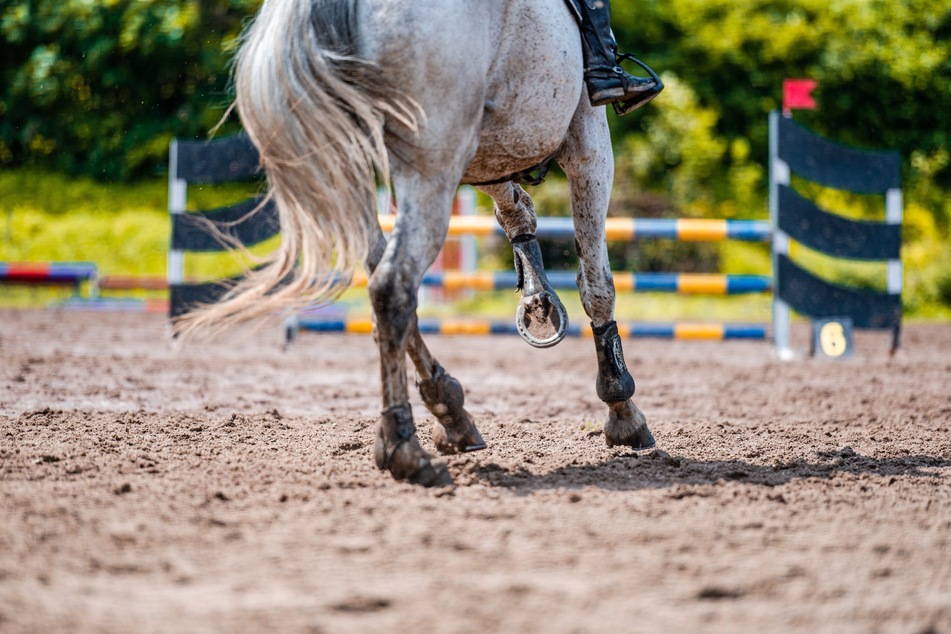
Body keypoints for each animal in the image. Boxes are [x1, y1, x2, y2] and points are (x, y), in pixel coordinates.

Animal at [178, 0, 656, 484]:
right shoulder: (586, 138)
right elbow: (596, 283)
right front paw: (622, 409)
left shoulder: (488, 145)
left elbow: (515, 208)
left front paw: (537, 295)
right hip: (429, 165)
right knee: (392, 286)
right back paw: (403, 446)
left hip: (360, 167)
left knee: (384, 283)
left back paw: (449, 410)